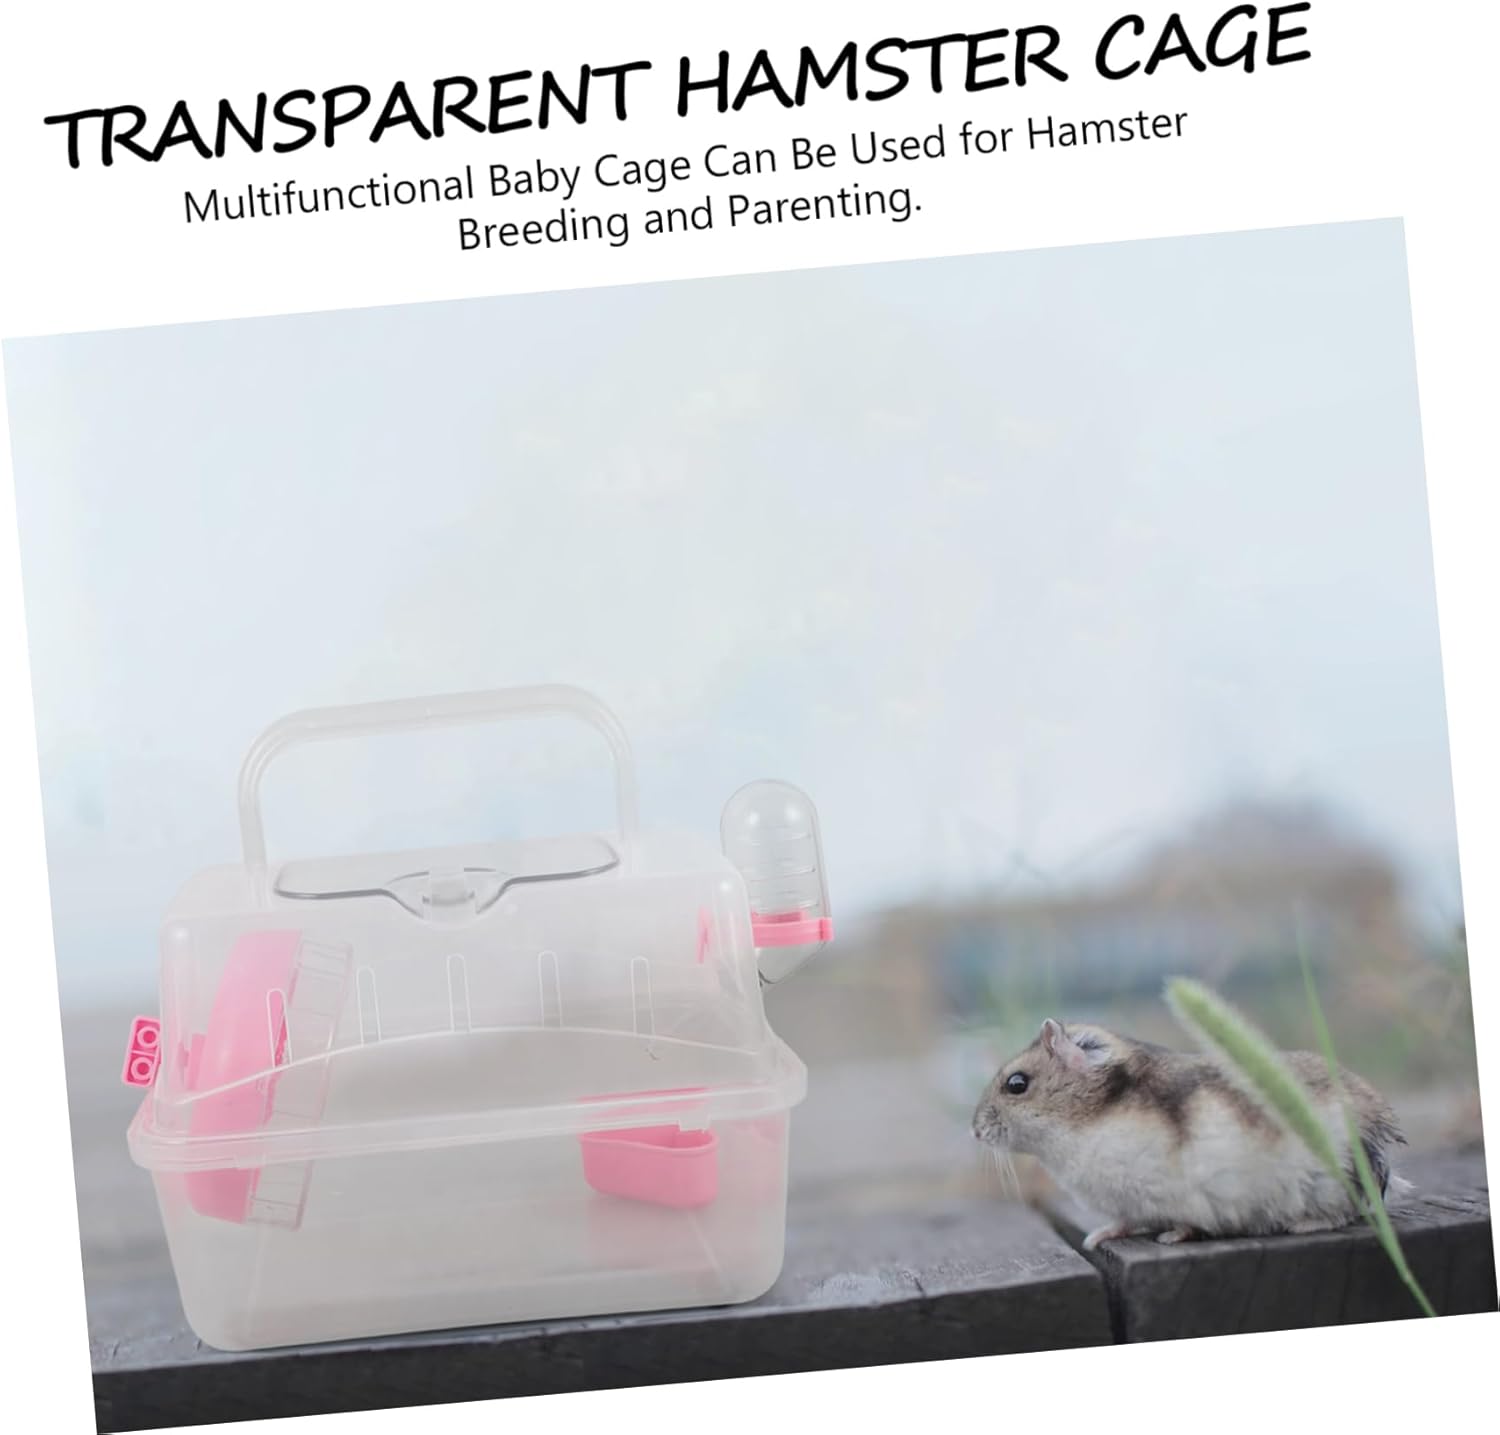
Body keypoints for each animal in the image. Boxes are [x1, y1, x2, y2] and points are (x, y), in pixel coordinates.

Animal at [972, 1018, 1407, 1249]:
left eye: (1016, 1084)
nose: (974, 1130)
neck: (1084, 1123)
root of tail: (1381, 1133)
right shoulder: (1129, 1206)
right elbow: (1123, 1222)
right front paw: (1095, 1238)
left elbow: (1184, 1222)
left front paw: (1169, 1237)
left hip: (1331, 1182)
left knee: (1345, 1213)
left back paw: (1300, 1225)